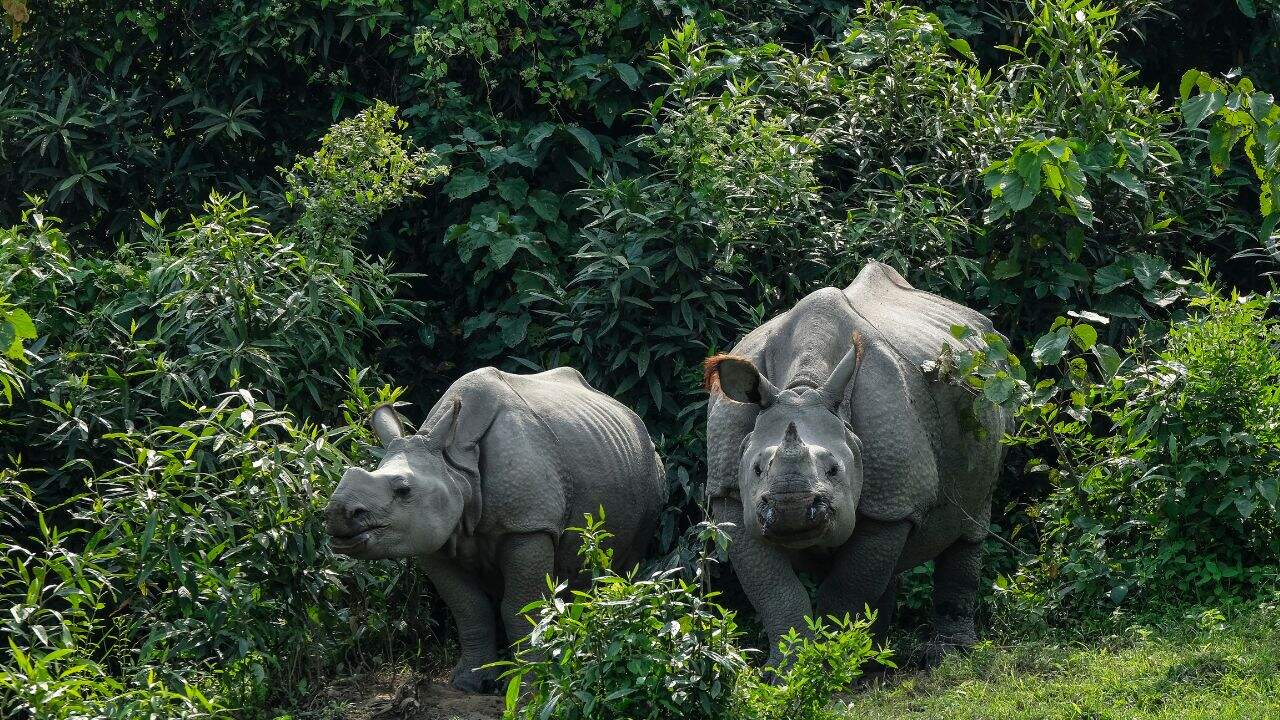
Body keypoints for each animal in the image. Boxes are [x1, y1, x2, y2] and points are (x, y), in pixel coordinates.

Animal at [325, 366, 666, 692]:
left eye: (404, 490)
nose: (336, 513)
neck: (456, 467)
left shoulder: (528, 525)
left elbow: (519, 608)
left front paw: (531, 685)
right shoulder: (432, 536)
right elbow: (468, 607)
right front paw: (469, 684)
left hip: (651, 468)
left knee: (627, 558)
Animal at [704, 261, 1011, 666]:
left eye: (834, 470)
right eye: (756, 469)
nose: (791, 508)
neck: (803, 386)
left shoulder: (892, 498)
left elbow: (847, 588)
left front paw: (835, 662)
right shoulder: (729, 492)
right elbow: (774, 590)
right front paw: (787, 670)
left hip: (993, 387)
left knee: (970, 524)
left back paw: (945, 656)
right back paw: (877, 657)